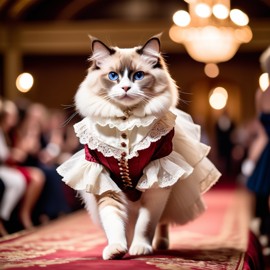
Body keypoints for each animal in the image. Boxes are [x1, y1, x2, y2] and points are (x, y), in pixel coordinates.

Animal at [56, 34, 219, 260]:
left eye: (138, 75)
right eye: (113, 76)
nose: (125, 88)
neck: (126, 121)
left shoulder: (157, 176)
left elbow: (147, 223)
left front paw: (140, 248)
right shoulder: (103, 178)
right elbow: (115, 222)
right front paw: (117, 249)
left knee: (162, 223)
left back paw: (160, 244)